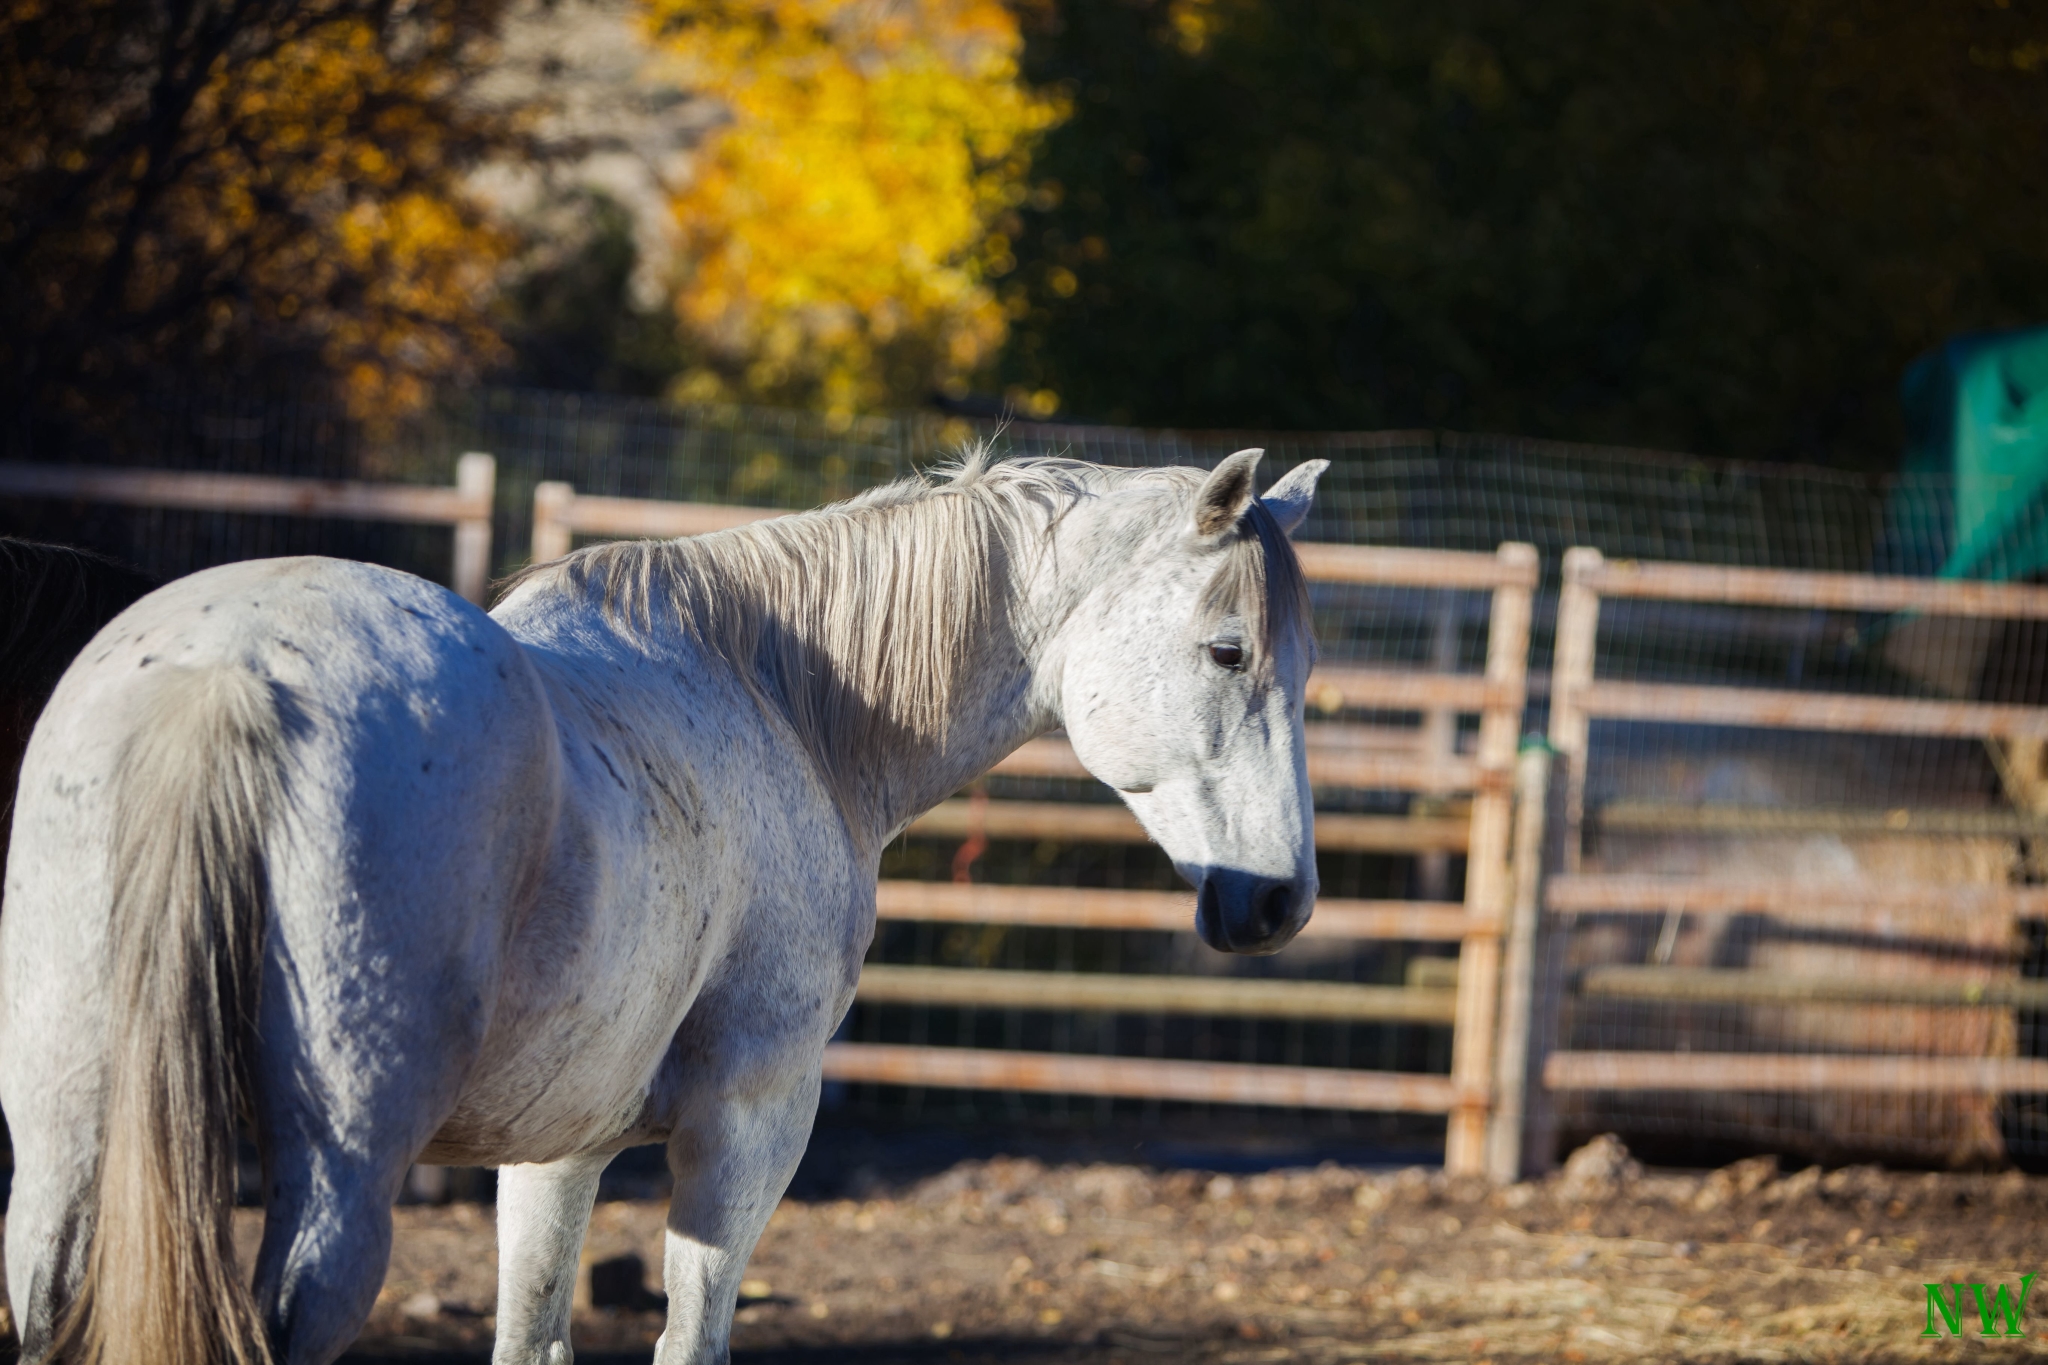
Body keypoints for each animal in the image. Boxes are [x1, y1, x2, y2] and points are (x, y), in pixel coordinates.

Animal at [0, 444, 1327, 1358]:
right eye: (1227, 652)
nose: (1276, 904)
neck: (789, 705)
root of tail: (222, 678)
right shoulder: (749, 1123)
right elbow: (690, 1337)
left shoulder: (557, 1150)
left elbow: (531, 1334)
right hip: (338, 1182)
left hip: (67, 1153)